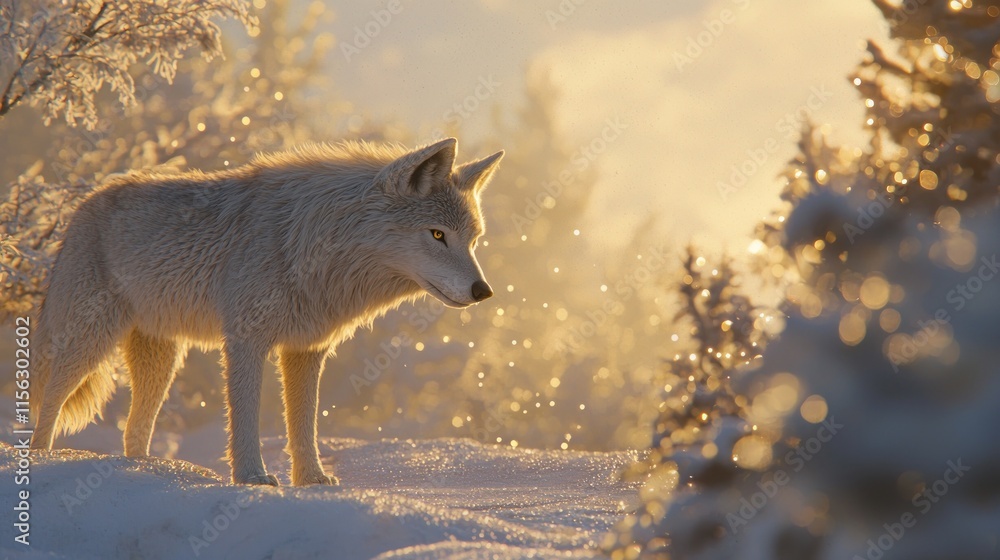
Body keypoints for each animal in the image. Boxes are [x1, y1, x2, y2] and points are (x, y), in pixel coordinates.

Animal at [30, 137, 503, 486]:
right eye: (437, 235)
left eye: (473, 240)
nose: (484, 291)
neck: (315, 247)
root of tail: (83, 204)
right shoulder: (245, 341)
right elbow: (246, 418)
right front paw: (252, 477)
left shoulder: (306, 351)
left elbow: (304, 426)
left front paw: (312, 480)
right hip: (90, 342)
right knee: (48, 403)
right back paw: (41, 462)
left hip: (161, 361)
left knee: (133, 431)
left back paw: (148, 472)